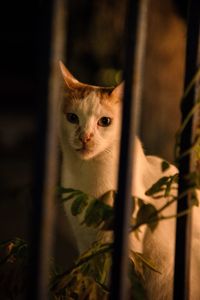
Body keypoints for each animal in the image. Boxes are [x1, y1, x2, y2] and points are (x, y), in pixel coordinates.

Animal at [58, 61, 200, 300]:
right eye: (72, 118)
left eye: (105, 122)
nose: (84, 137)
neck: (88, 173)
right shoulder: (85, 240)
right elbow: (92, 278)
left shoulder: (123, 244)